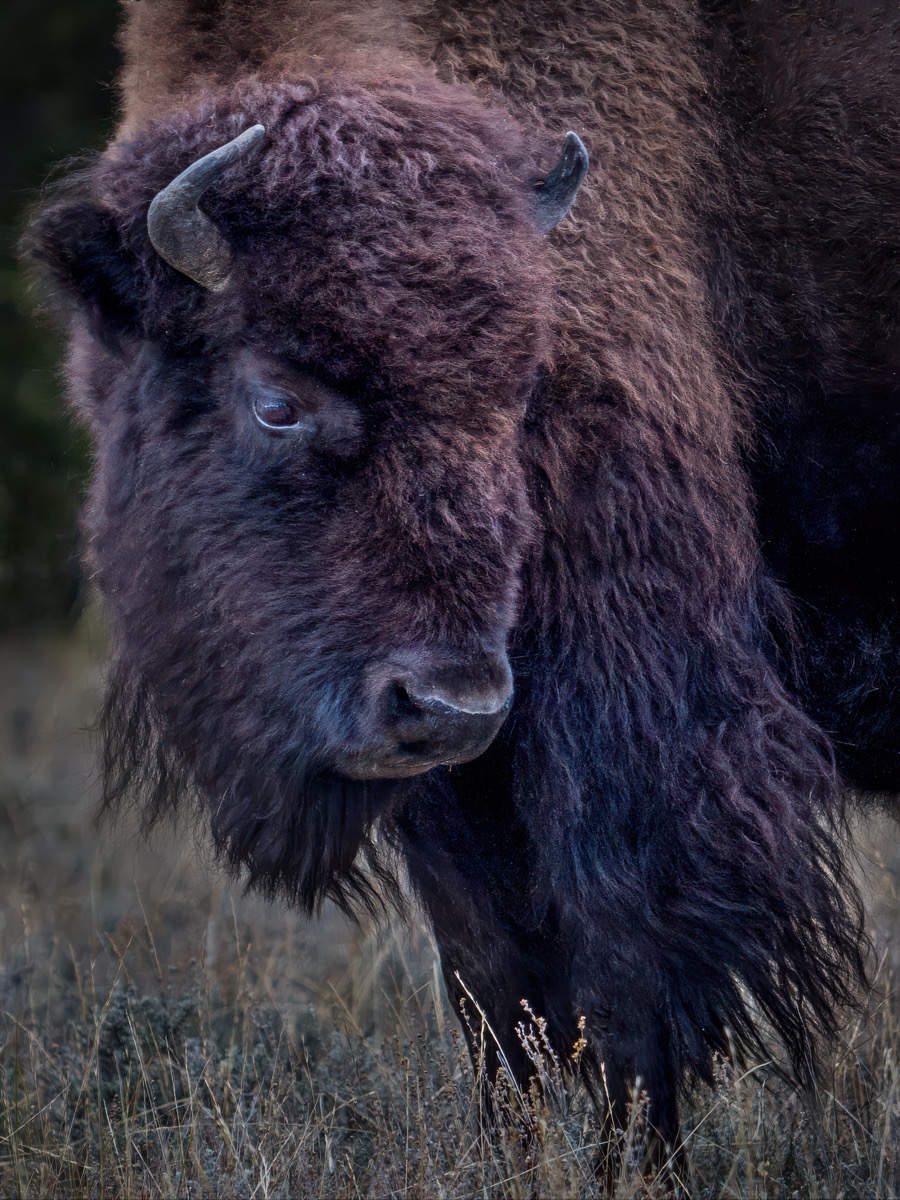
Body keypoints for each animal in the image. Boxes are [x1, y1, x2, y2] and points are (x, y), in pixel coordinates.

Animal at [28, 0, 898, 1153]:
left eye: (524, 385)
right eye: (276, 400)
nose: (454, 704)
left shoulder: (642, 728)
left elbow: (629, 982)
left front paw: (633, 1162)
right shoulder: (449, 792)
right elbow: (495, 990)